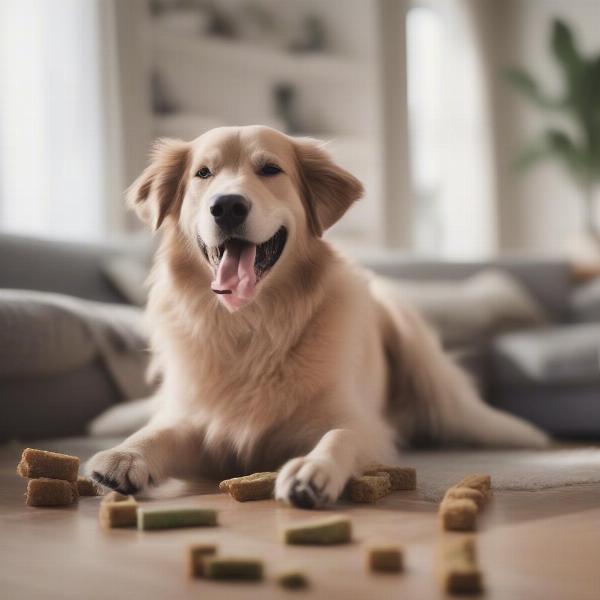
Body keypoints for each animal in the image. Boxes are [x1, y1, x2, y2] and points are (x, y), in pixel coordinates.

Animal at [86, 125, 552, 506]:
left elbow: (339, 434)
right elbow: (160, 431)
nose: (228, 206)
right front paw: (124, 455)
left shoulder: (363, 425)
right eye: (203, 173)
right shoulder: (202, 426)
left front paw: (314, 469)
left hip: (410, 334)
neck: (252, 325)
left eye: (270, 169)